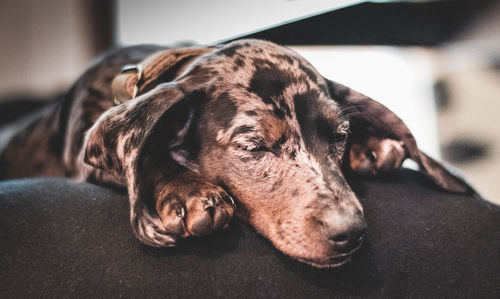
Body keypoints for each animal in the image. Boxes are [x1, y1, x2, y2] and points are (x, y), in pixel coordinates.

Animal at [0, 39, 472, 268]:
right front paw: (187, 192)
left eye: (339, 135)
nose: (351, 233)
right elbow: (149, 157)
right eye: (254, 145)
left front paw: (371, 144)